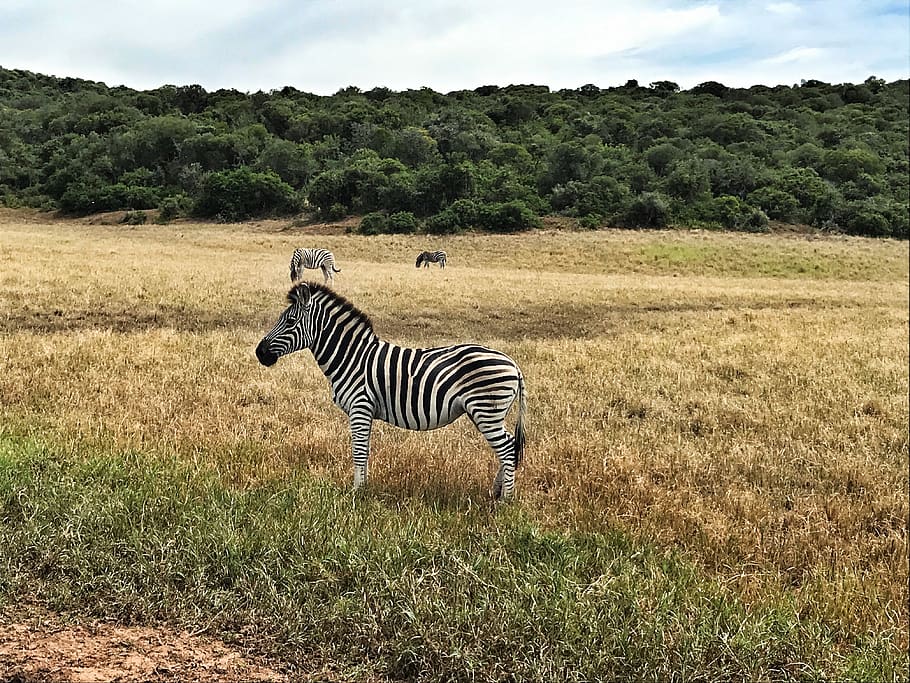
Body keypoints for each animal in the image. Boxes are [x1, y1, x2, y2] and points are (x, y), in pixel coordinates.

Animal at [255, 283, 527, 500]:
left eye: (290, 322)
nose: (260, 353)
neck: (352, 357)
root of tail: (513, 364)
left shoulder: (360, 407)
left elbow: (359, 451)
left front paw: (356, 492)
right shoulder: (365, 411)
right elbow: (365, 451)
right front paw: (363, 488)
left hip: (486, 411)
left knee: (506, 448)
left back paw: (506, 500)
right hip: (486, 414)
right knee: (510, 446)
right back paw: (496, 492)